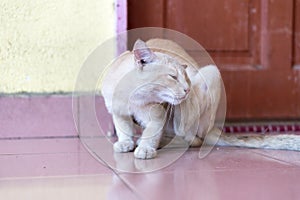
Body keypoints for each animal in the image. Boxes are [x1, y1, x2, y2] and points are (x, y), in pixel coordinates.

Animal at [101, 37, 300, 159]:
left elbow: (151, 133)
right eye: (173, 77)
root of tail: (213, 128)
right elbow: (124, 128)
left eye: (185, 78)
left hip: (210, 74)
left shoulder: (158, 115)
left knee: (191, 137)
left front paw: (145, 148)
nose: (187, 89)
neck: (131, 98)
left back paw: (164, 141)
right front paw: (125, 143)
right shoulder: (117, 112)